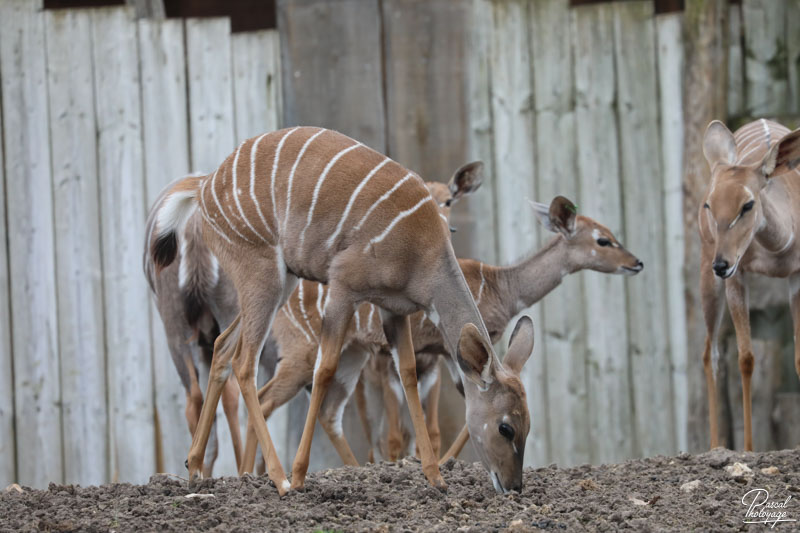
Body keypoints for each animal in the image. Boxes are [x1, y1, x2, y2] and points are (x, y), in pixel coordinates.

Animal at [150, 125, 532, 494]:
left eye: (528, 424)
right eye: (506, 428)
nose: (513, 486)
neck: (422, 250)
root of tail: (205, 185)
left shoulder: (394, 310)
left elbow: (407, 372)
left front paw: (435, 478)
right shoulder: (344, 287)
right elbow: (325, 370)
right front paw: (299, 476)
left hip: (276, 283)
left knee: (223, 346)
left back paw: (194, 468)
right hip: (262, 275)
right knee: (245, 365)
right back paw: (280, 480)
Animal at [242, 196, 644, 470]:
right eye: (603, 240)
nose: (637, 262)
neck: (502, 287)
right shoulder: (459, 349)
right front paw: (447, 462)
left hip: (351, 353)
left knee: (325, 411)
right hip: (302, 353)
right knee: (263, 396)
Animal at [696, 118, 800, 450]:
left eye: (747, 204)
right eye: (709, 205)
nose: (721, 265)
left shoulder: (797, 276)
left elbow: (798, 356)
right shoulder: (737, 276)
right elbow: (746, 358)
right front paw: (749, 448)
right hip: (707, 273)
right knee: (710, 353)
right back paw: (715, 446)